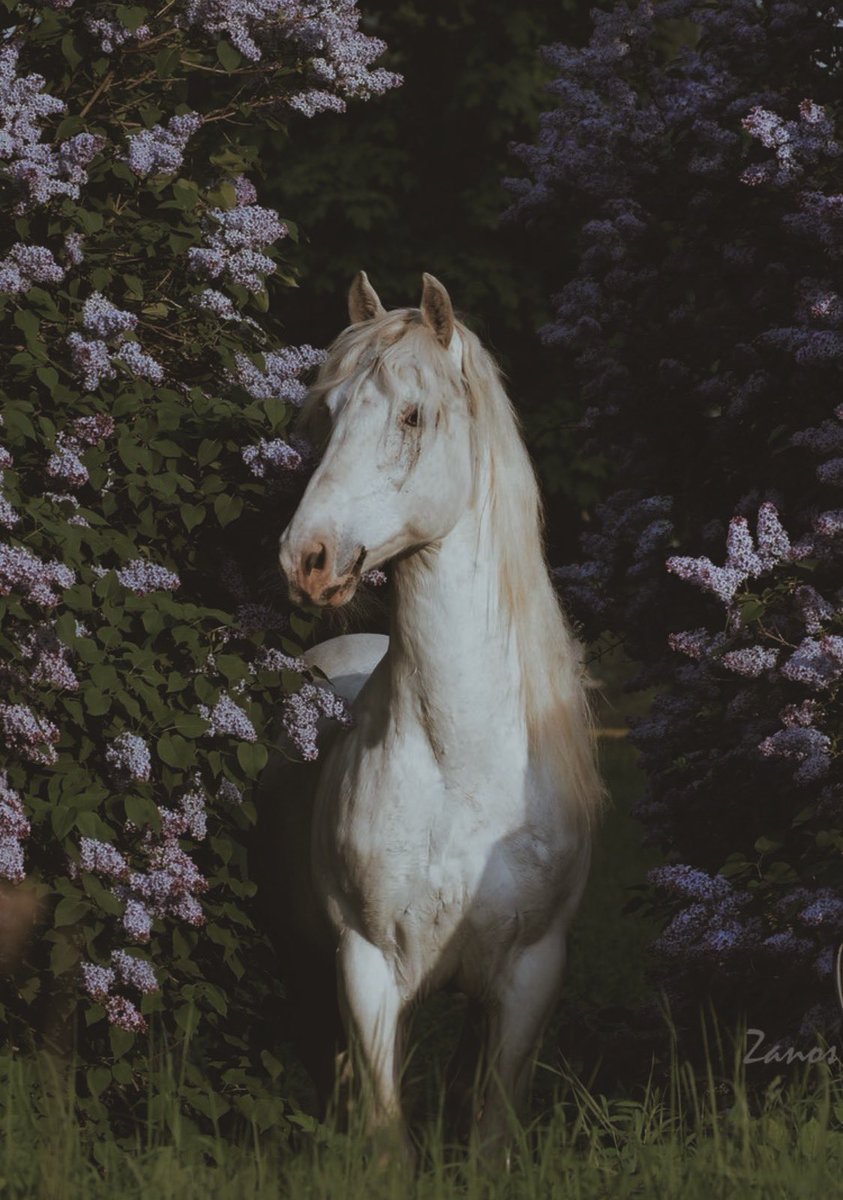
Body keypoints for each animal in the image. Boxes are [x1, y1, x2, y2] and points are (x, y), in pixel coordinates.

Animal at [260, 272, 605, 1152]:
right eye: (325, 414)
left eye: (412, 415)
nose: (306, 558)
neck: (463, 764)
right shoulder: (366, 968)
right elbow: (385, 1136)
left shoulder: (528, 978)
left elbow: (487, 1135)